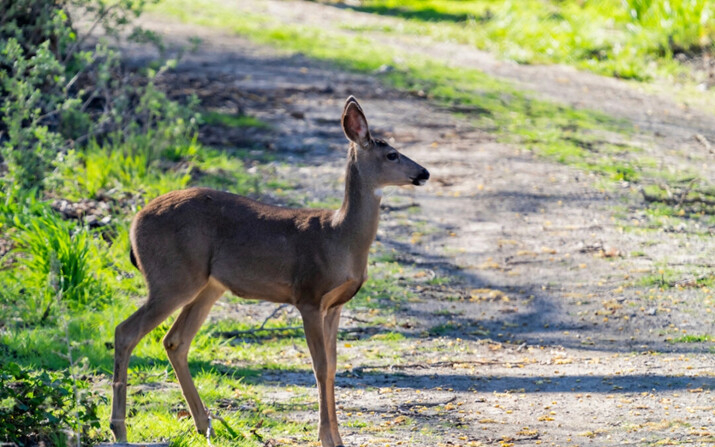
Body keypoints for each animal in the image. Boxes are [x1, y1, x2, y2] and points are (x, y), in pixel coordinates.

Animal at [109, 96, 428, 446]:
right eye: (392, 154)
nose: (424, 172)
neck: (340, 237)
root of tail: (133, 224)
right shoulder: (308, 295)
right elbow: (319, 367)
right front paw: (326, 437)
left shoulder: (335, 305)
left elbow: (332, 366)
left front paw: (337, 438)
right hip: (173, 277)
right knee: (126, 331)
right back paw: (120, 429)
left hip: (208, 285)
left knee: (175, 340)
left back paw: (204, 424)